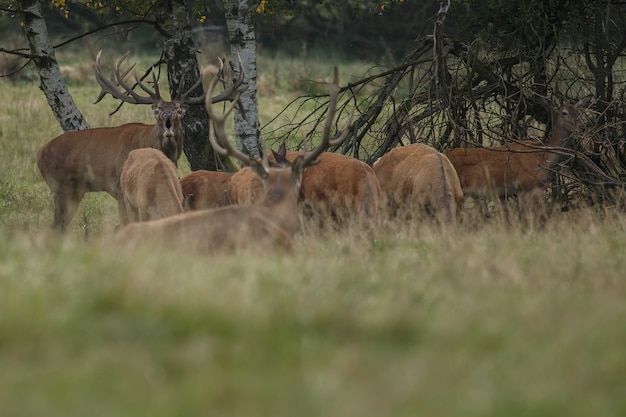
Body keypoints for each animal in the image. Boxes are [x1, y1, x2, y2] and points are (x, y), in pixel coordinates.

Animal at [35, 50, 243, 231]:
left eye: (180, 111)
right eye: (157, 110)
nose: (168, 115)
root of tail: (40, 153)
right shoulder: (119, 187)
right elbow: (125, 222)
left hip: (75, 191)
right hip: (60, 187)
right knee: (56, 226)